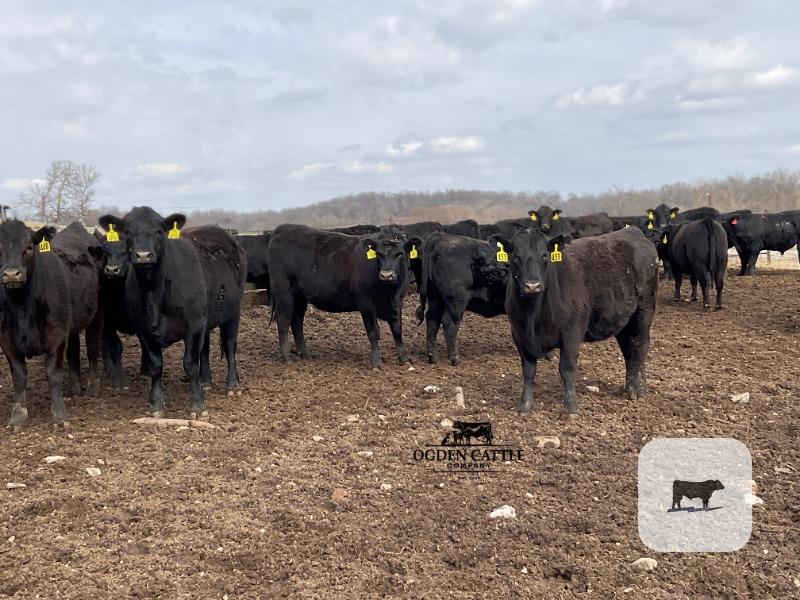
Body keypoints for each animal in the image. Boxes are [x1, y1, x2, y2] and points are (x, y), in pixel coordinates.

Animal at [0, 221, 103, 430]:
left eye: (29, 247)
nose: (11, 274)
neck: (22, 306)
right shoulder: (6, 339)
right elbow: (19, 377)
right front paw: (17, 417)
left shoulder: (57, 335)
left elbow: (53, 375)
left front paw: (60, 416)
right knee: (73, 352)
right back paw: (74, 388)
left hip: (96, 315)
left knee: (92, 349)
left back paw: (92, 388)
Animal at [268, 224, 418, 368]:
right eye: (379, 254)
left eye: (400, 254)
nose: (386, 275)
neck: (389, 291)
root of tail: (282, 229)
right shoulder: (366, 305)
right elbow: (374, 332)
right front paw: (376, 363)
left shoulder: (398, 303)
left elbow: (397, 330)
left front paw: (404, 360)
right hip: (284, 292)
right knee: (283, 320)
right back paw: (286, 357)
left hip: (300, 296)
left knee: (297, 322)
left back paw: (305, 355)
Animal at [416, 232, 508, 365]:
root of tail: (442, 237)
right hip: (456, 301)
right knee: (449, 323)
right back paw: (455, 359)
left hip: (436, 299)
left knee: (432, 320)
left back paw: (433, 356)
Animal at [500, 227, 658, 414]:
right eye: (516, 257)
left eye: (545, 255)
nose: (532, 285)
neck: (533, 317)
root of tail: (633, 231)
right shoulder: (519, 334)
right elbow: (528, 371)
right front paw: (524, 405)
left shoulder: (572, 332)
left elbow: (567, 369)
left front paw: (571, 406)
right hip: (623, 321)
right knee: (629, 350)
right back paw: (630, 389)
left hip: (644, 310)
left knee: (640, 346)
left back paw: (639, 389)